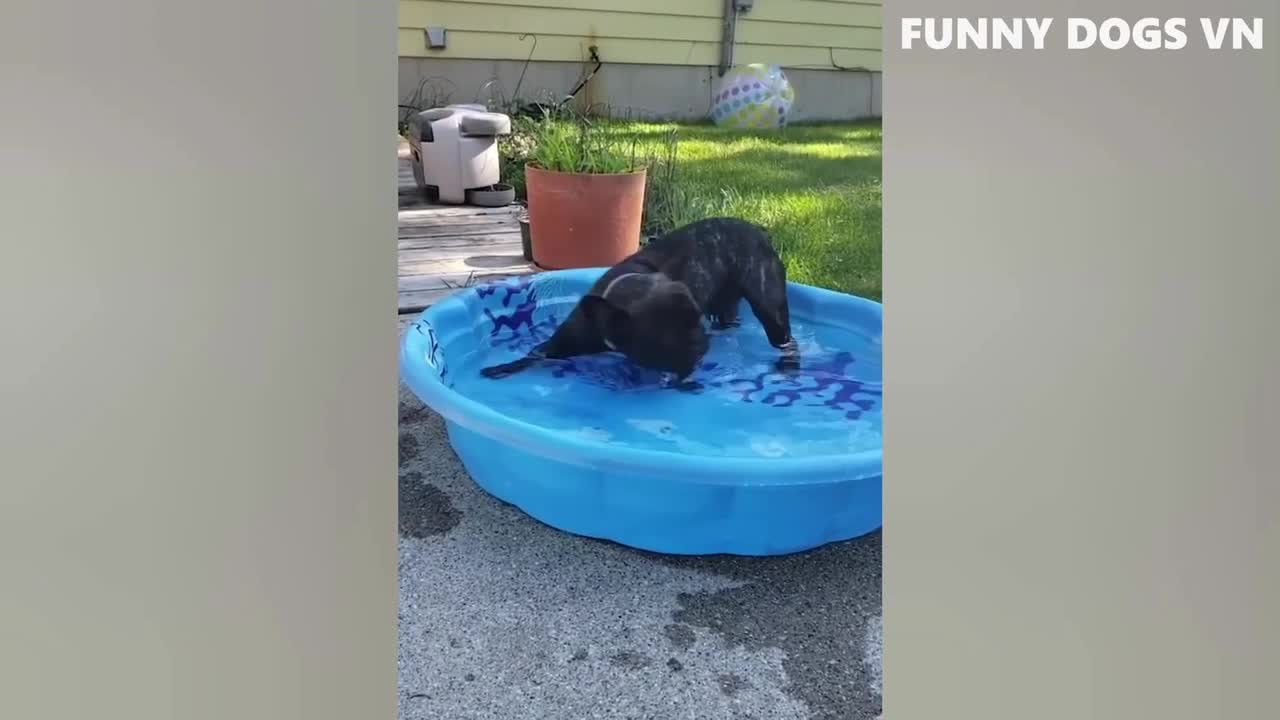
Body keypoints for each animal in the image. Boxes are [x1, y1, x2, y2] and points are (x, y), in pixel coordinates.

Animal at [481, 213, 793, 379]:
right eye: (664, 337)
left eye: (695, 320)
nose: (700, 341)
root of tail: (758, 230)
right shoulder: (564, 339)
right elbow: (537, 353)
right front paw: (502, 367)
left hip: (770, 308)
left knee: (785, 338)